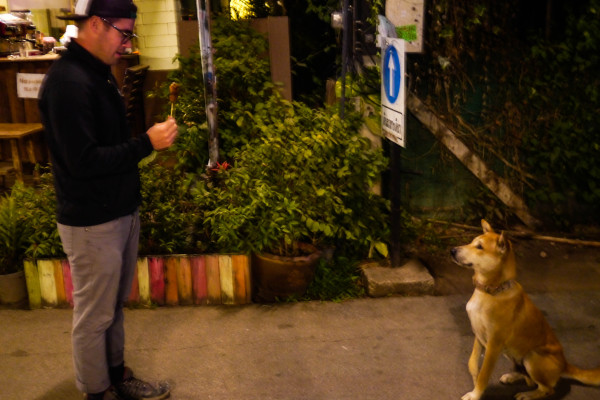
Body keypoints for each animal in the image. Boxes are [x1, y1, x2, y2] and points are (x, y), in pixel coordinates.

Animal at [450, 220, 600, 400]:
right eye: (472, 242)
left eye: (479, 247)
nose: (452, 250)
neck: (492, 290)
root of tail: (565, 364)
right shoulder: (478, 335)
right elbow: (472, 363)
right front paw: (474, 383)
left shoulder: (494, 344)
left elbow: (484, 375)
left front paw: (475, 394)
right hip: (512, 353)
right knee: (527, 376)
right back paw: (512, 376)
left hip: (532, 357)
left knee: (547, 388)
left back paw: (527, 395)